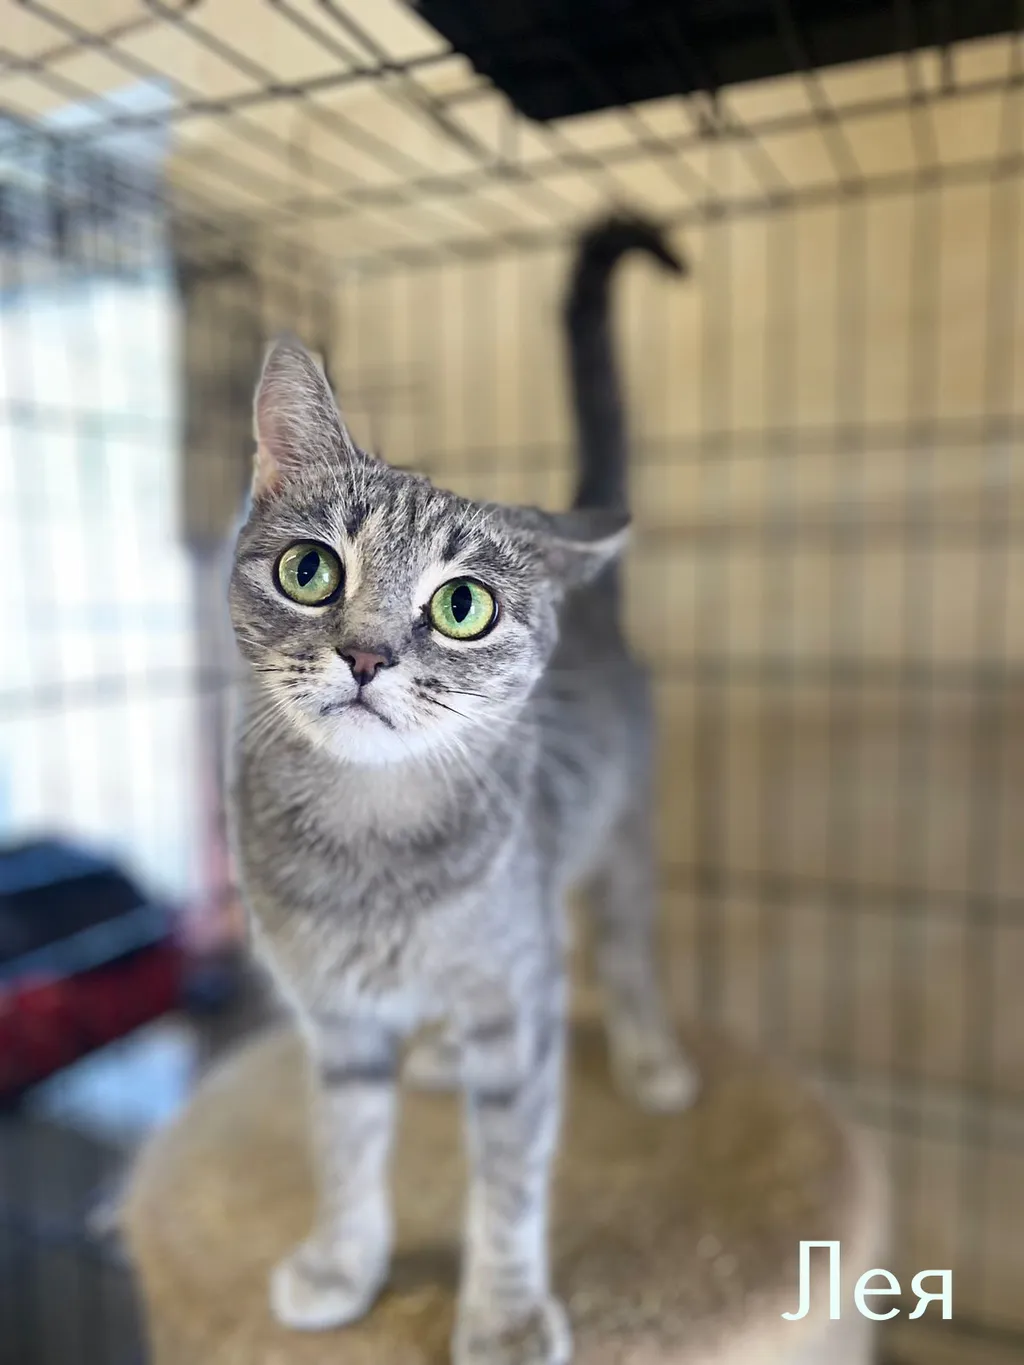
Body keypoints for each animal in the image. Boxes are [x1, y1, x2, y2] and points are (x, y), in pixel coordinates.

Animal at [227, 214, 696, 1365]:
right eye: (310, 571)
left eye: (463, 605)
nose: (364, 655)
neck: (369, 840)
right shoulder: (335, 1020)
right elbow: (348, 1149)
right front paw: (343, 1265)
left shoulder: (515, 1012)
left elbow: (510, 1184)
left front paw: (506, 1311)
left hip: (618, 847)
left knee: (624, 953)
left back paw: (652, 1058)